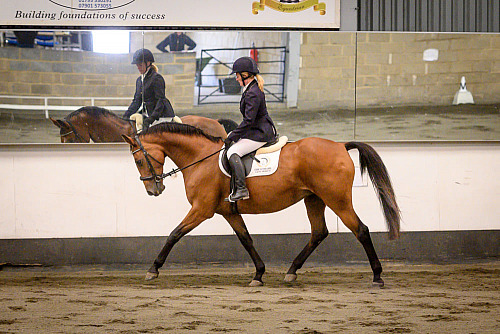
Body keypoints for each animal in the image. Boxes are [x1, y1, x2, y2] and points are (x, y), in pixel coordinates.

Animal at [122, 122, 402, 288]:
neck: (200, 158)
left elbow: (174, 234)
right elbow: (246, 239)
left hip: (337, 199)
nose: (153, 190)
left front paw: (153, 269)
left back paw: (377, 276)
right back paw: (291, 271)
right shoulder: (228, 211)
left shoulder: (202, 210)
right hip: (314, 199)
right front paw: (258, 273)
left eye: (138, 160)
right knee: (319, 233)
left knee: (361, 230)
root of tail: (340, 146)